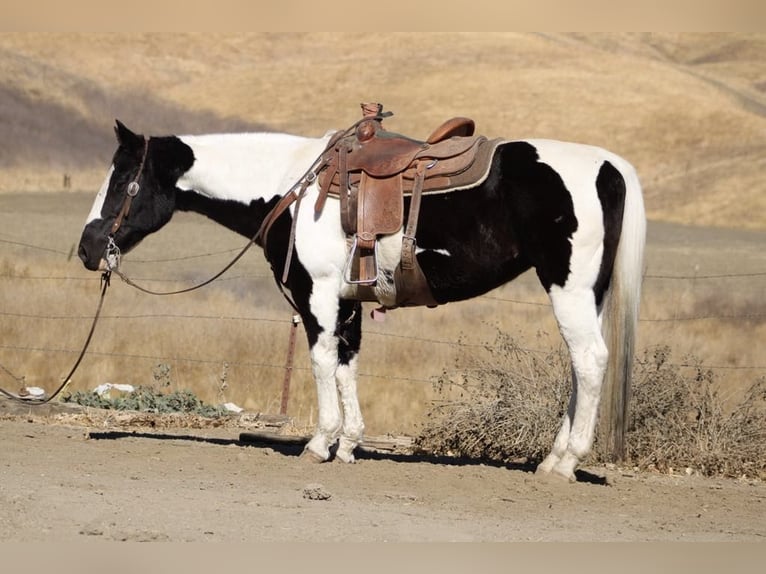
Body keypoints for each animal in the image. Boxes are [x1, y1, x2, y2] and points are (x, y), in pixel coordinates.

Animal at [78, 116, 645, 482]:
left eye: (124, 180)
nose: (87, 248)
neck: (293, 187)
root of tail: (610, 165)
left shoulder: (318, 295)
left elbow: (322, 361)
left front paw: (318, 443)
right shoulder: (348, 301)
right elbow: (347, 363)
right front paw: (349, 444)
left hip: (569, 288)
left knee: (589, 361)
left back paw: (567, 463)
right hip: (588, 293)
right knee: (578, 367)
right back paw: (551, 459)